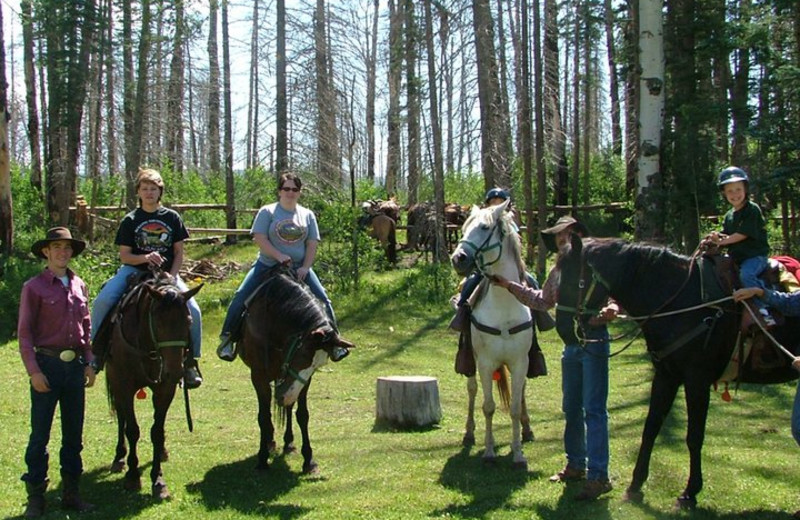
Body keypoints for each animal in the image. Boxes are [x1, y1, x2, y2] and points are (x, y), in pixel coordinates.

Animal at [104, 274, 203, 498]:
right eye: (158, 323)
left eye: (189, 321)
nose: (174, 372)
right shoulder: (124, 386)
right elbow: (132, 430)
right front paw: (132, 477)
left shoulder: (165, 389)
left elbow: (157, 431)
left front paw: (158, 481)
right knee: (121, 416)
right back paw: (119, 458)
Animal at [234, 266, 354, 474]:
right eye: (303, 355)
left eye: (318, 365)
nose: (286, 396)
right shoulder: (258, 376)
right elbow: (263, 416)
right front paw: (262, 458)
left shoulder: (303, 381)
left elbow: (302, 414)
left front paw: (309, 461)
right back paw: (270, 443)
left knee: (288, 408)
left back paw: (288, 441)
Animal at [454, 199, 536, 468]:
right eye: (464, 227)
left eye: (484, 227)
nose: (458, 258)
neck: (504, 307)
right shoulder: (486, 363)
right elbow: (488, 406)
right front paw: (489, 451)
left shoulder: (521, 362)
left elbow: (515, 407)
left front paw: (518, 452)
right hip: (471, 360)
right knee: (472, 390)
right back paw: (469, 433)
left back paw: (527, 429)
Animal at [556, 236, 800, 508]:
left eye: (574, 279)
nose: (563, 328)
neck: (682, 301)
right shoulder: (666, 376)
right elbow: (650, 428)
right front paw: (635, 485)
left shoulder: (697, 381)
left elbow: (694, 437)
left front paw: (690, 492)